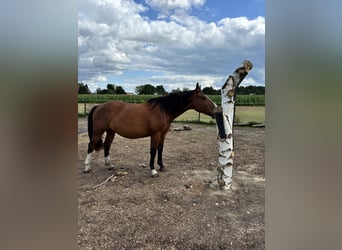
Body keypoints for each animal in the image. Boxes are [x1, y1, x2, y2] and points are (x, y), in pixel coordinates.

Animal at [84, 82, 215, 176]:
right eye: (203, 97)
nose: (216, 108)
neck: (163, 110)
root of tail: (99, 106)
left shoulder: (163, 134)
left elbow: (160, 149)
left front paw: (161, 166)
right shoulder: (155, 134)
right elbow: (153, 151)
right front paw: (153, 170)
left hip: (111, 131)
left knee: (107, 145)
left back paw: (110, 165)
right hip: (98, 131)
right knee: (91, 145)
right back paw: (87, 167)